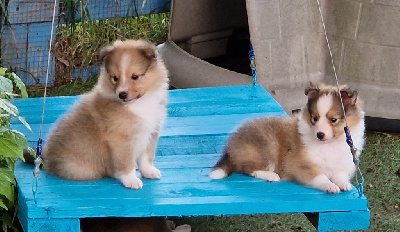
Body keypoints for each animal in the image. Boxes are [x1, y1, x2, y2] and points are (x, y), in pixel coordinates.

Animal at [42, 39, 169, 188]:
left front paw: (149, 171)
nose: (122, 94)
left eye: (135, 76)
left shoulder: (151, 132)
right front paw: (131, 180)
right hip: (85, 169)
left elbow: (146, 157)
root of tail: (47, 159)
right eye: (115, 78)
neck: (139, 104)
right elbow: (126, 162)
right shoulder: (121, 139)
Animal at [209, 84, 366, 194]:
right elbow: (320, 176)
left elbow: (339, 175)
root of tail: (231, 146)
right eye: (314, 118)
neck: (330, 144)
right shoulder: (300, 165)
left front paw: (344, 184)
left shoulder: (341, 165)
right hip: (267, 148)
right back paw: (271, 176)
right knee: (248, 168)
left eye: (333, 120)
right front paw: (330, 186)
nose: (319, 134)